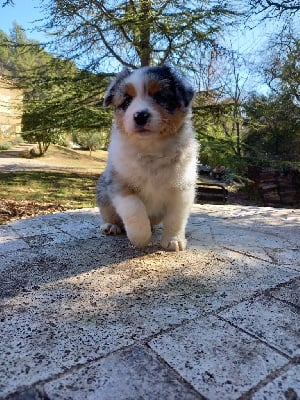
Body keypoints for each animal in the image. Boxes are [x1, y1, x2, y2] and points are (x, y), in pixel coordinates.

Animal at [97, 67, 198, 252]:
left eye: (159, 96)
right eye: (127, 101)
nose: (140, 116)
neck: (151, 149)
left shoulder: (182, 189)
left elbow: (176, 218)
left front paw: (173, 241)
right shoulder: (119, 184)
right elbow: (134, 209)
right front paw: (140, 238)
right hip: (103, 192)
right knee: (110, 215)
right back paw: (110, 226)